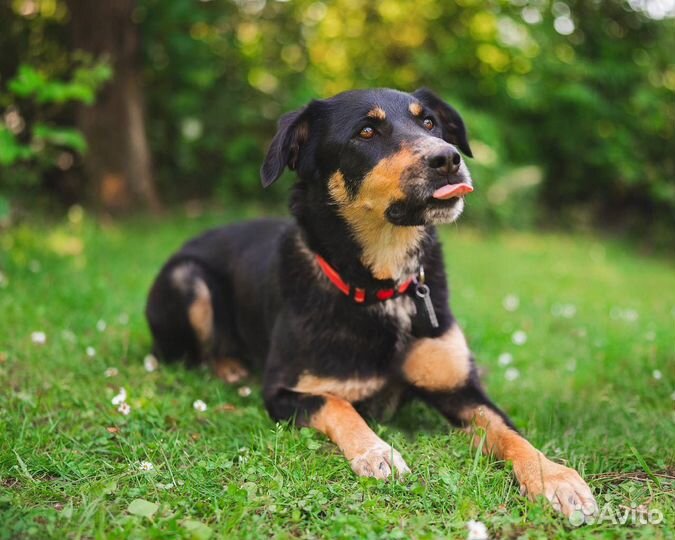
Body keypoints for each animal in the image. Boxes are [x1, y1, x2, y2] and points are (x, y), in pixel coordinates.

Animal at [147, 87, 596, 520]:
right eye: (366, 132)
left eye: (429, 123)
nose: (448, 159)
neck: (384, 286)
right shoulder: (283, 391)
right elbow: (339, 404)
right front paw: (376, 451)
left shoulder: (458, 388)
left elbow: (508, 431)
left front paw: (555, 477)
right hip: (188, 279)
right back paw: (229, 368)